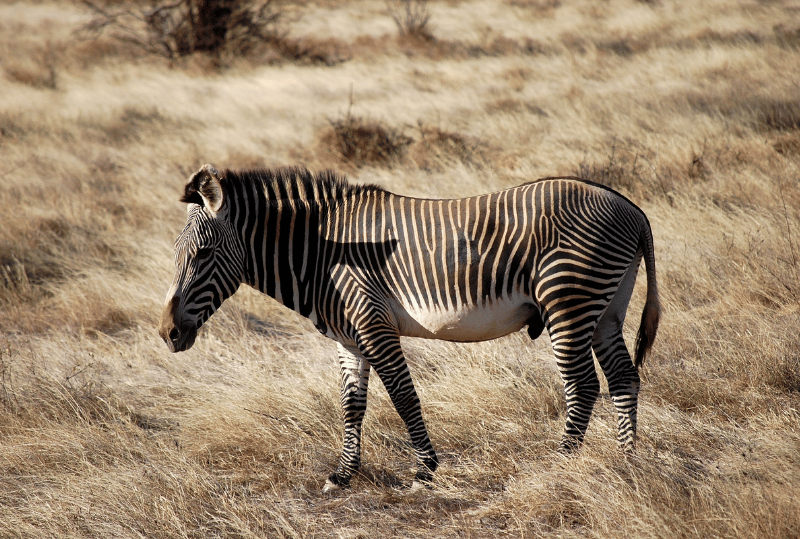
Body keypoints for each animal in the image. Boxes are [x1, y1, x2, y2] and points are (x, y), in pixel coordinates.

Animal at [159, 165, 660, 494]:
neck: (322, 254)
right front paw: (343, 474)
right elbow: (352, 406)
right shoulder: (348, 338)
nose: (167, 334)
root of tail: (632, 208)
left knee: (583, 384)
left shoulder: (373, 323)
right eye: (177, 253)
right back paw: (626, 461)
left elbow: (403, 396)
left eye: (202, 254)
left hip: (568, 299)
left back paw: (561, 464)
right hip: (606, 308)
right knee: (623, 377)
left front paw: (424, 472)